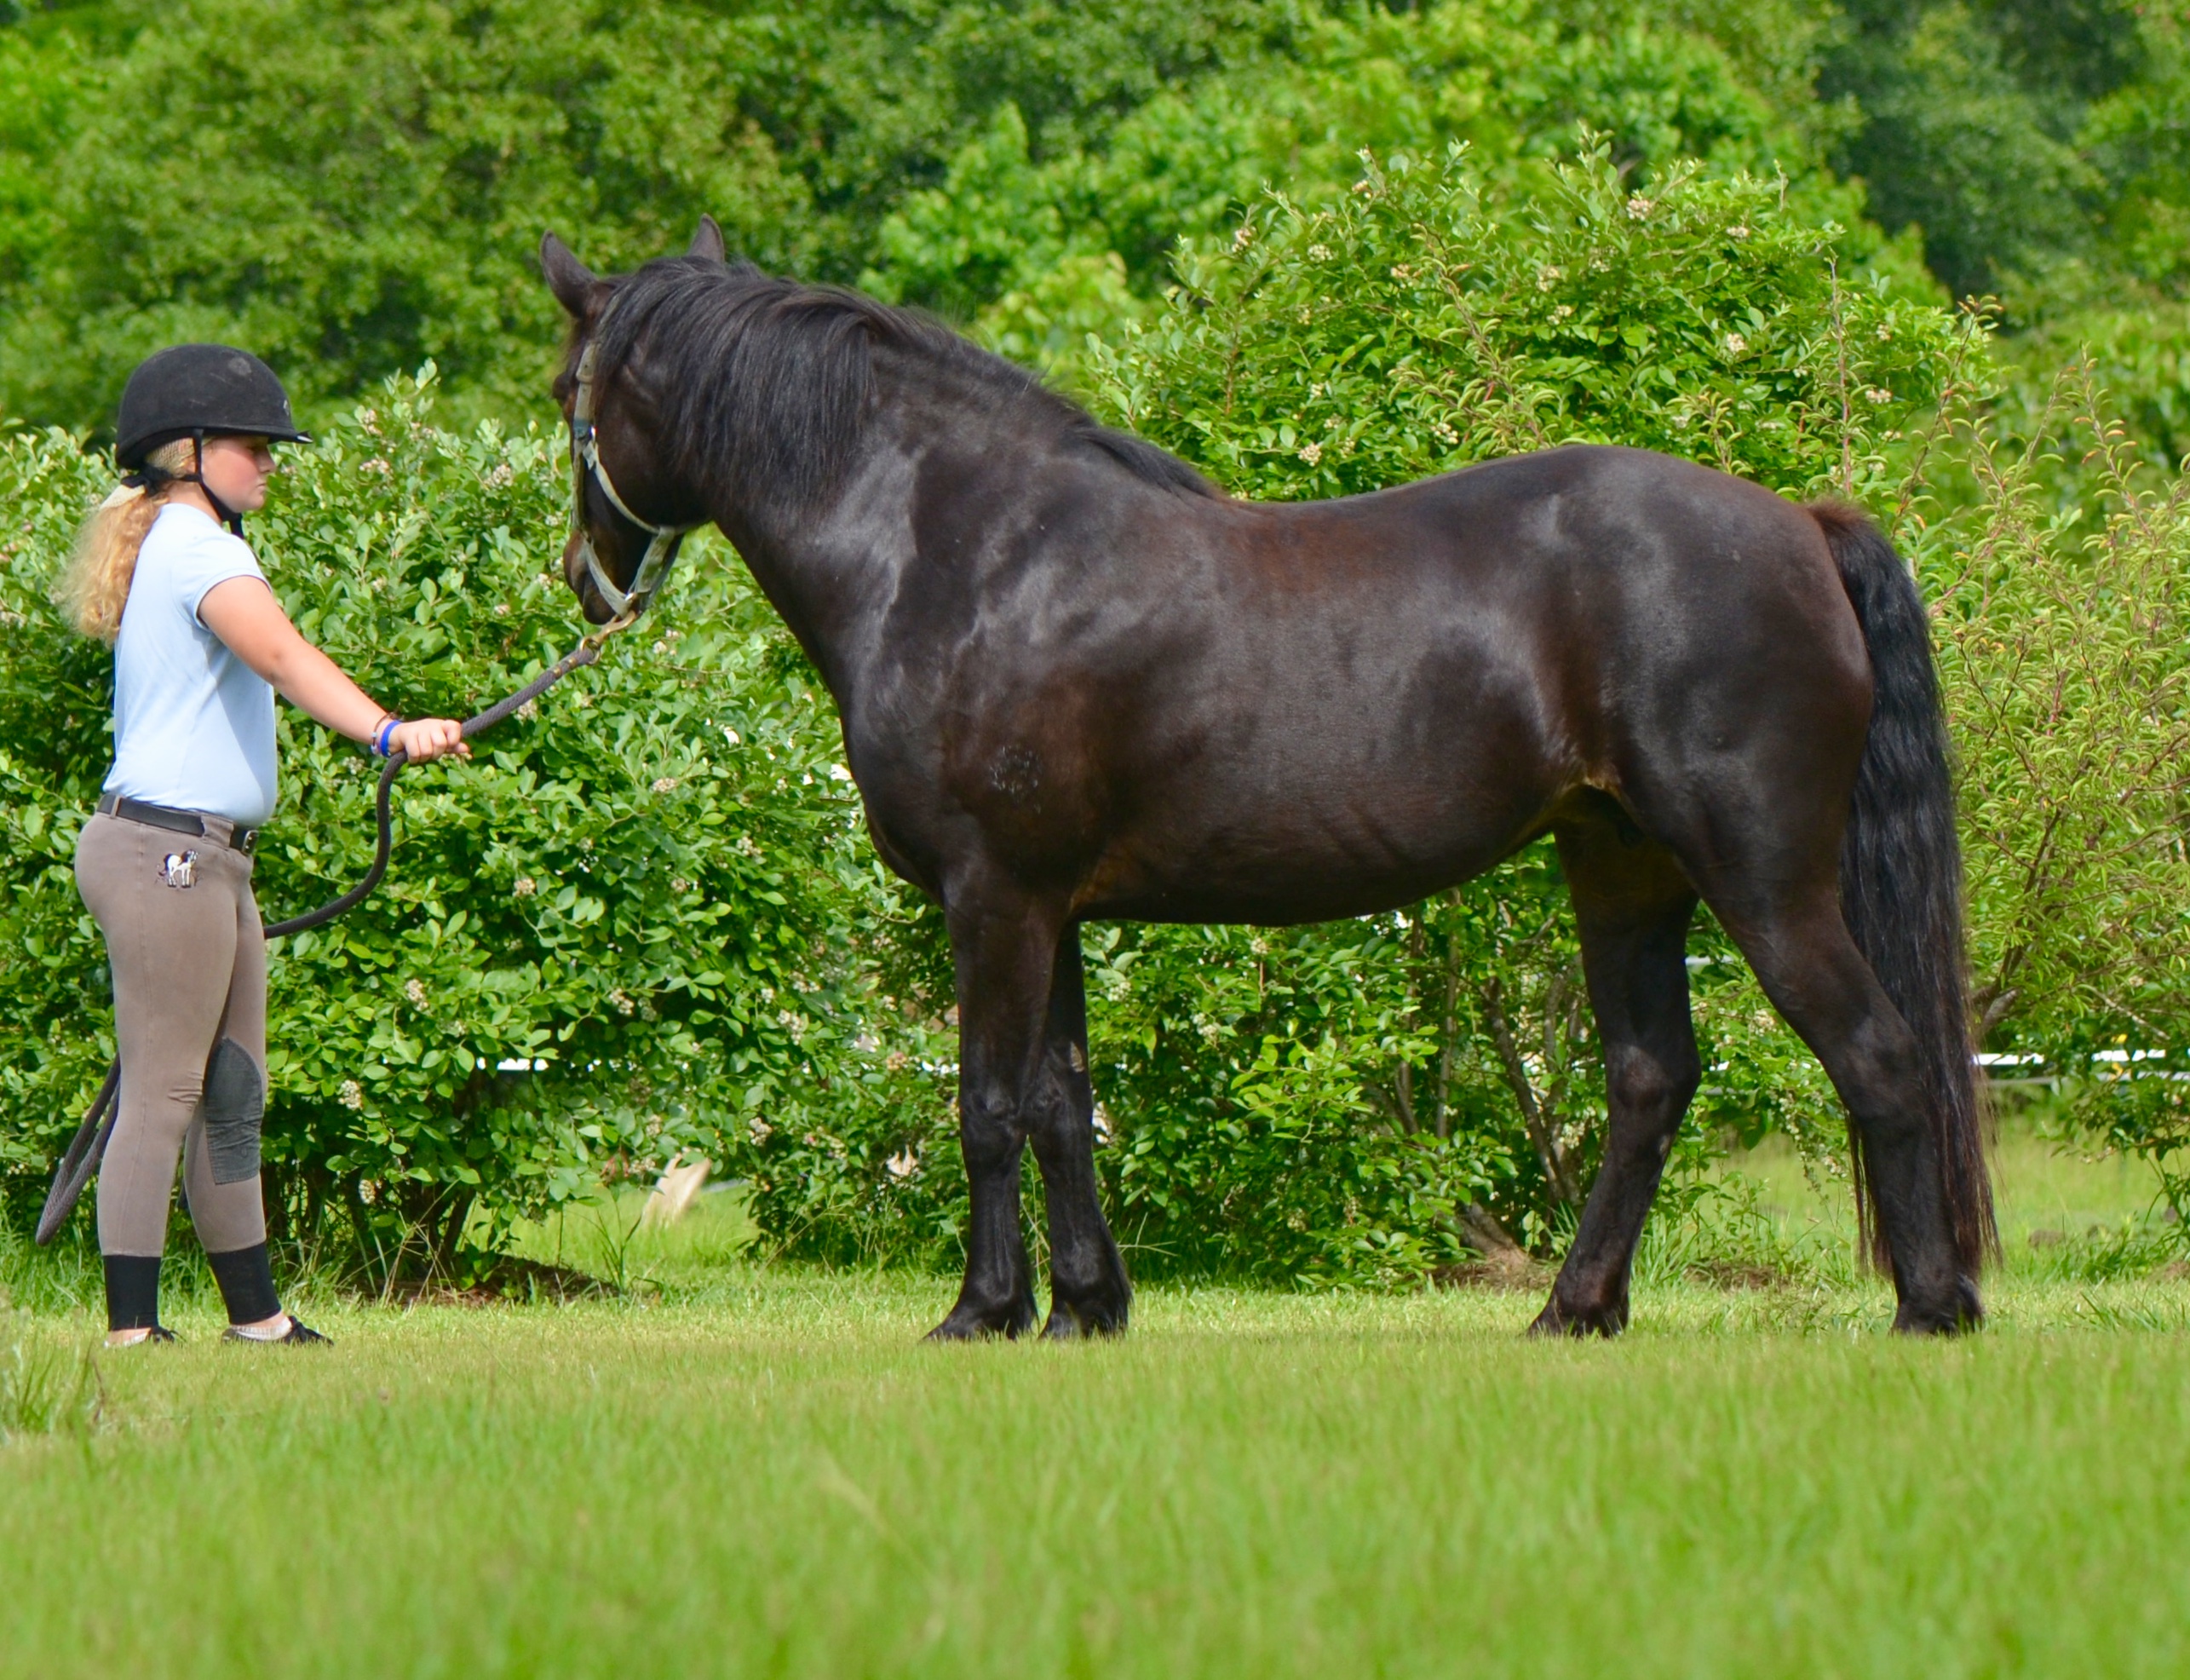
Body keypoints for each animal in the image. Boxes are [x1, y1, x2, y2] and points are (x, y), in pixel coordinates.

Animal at [539, 218, 1994, 1339]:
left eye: (567, 396)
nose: (584, 583)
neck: (962, 551)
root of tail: (1799, 527)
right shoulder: (1048, 907)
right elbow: (1063, 1104)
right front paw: (1083, 1308)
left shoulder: (991, 895)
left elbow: (986, 1105)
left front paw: (980, 1311)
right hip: (1621, 864)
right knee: (1646, 1081)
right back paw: (1572, 1310)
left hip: (1758, 872)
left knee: (1877, 1056)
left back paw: (1929, 1309)